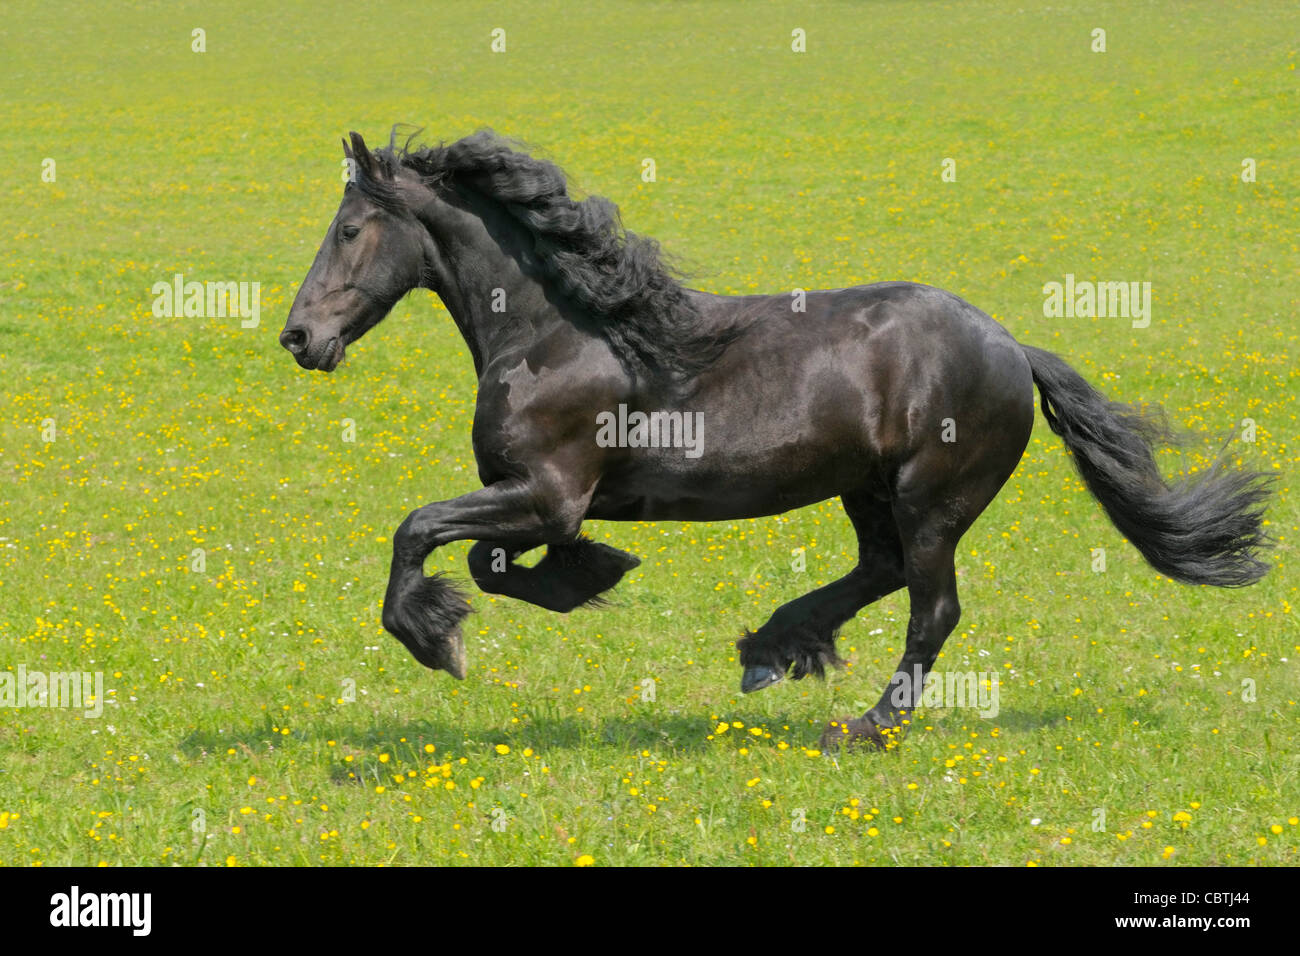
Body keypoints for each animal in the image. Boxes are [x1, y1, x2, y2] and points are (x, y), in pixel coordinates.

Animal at [280, 129, 1274, 750]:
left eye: (350, 228)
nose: (297, 337)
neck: (559, 332)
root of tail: (1011, 346)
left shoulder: (549, 496)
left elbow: (424, 531)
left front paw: (437, 638)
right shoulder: (535, 500)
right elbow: (489, 563)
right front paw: (591, 574)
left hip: (933, 499)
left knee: (932, 608)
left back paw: (863, 727)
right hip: (867, 489)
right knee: (880, 572)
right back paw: (771, 647)